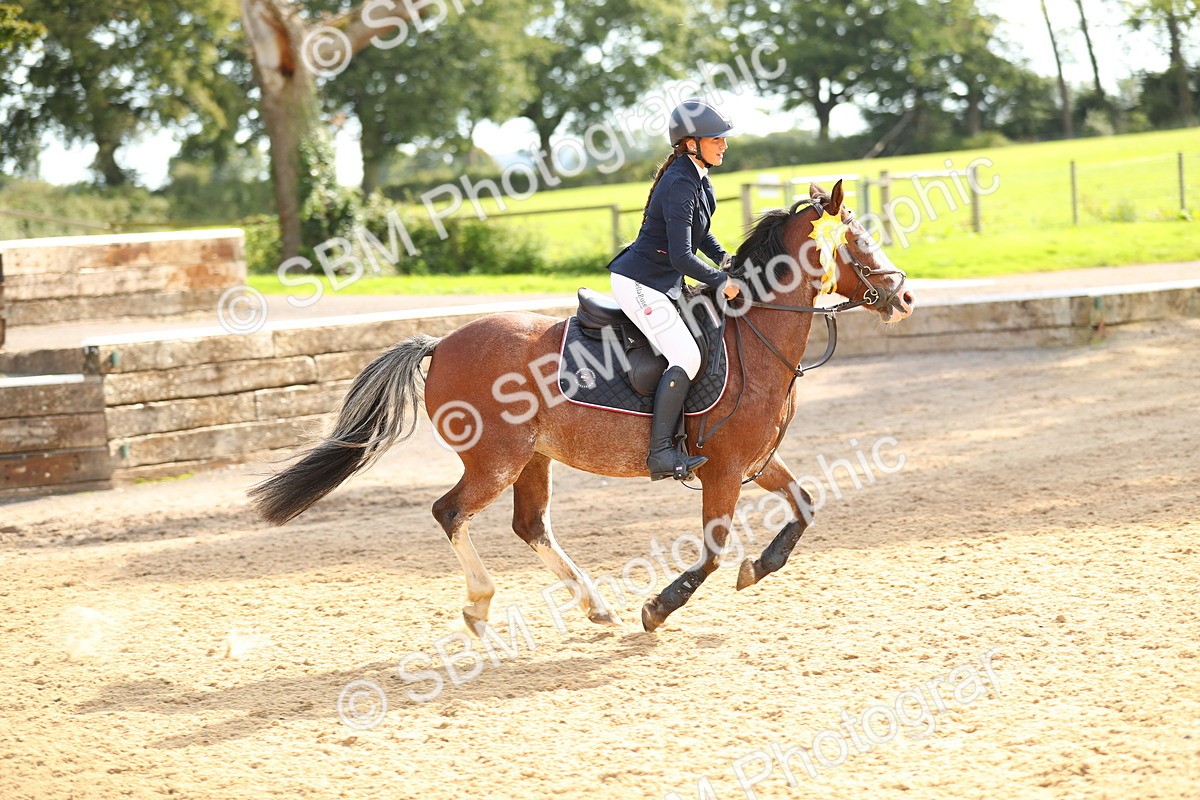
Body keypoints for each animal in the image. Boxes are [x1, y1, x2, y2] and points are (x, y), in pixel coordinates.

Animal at [249, 179, 915, 633]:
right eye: (859, 240)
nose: (904, 295)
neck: (756, 335)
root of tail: (440, 343)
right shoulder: (723, 470)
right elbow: (712, 551)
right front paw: (659, 607)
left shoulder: (754, 460)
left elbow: (804, 505)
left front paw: (760, 567)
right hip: (495, 459)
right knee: (450, 513)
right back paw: (482, 606)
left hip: (534, 459)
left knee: (529, 525)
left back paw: (594, 605)